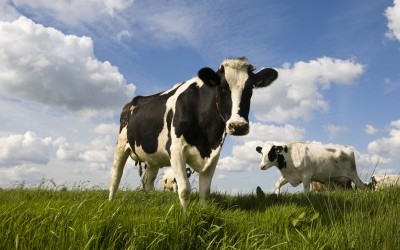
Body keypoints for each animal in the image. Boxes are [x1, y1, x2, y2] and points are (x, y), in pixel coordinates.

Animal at [109, 57, 278, 209]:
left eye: (250, 89)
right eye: (222, 88)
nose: (238, 126)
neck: (207, 136)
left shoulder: (214, 153)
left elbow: (205, 190)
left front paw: (204, 212)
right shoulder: (176, 149)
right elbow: (184, 189)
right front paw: (184, 215)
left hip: (153, 157)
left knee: (147, 181)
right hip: (121, 145)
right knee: (115, 177)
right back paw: (110, 202)